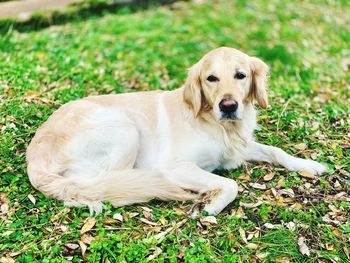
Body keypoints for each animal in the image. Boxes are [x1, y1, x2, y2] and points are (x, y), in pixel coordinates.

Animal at [26, 48, 326, 217]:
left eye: (241, 75)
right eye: (211, 78)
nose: (228, 106)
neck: (219, 125)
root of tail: (34, 159)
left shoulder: (238, 146)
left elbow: (277, 150)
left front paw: (308, 164)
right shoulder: (175, 165)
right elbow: (231, 184)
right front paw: (212, 204)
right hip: (125, 128)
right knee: (101, 185)